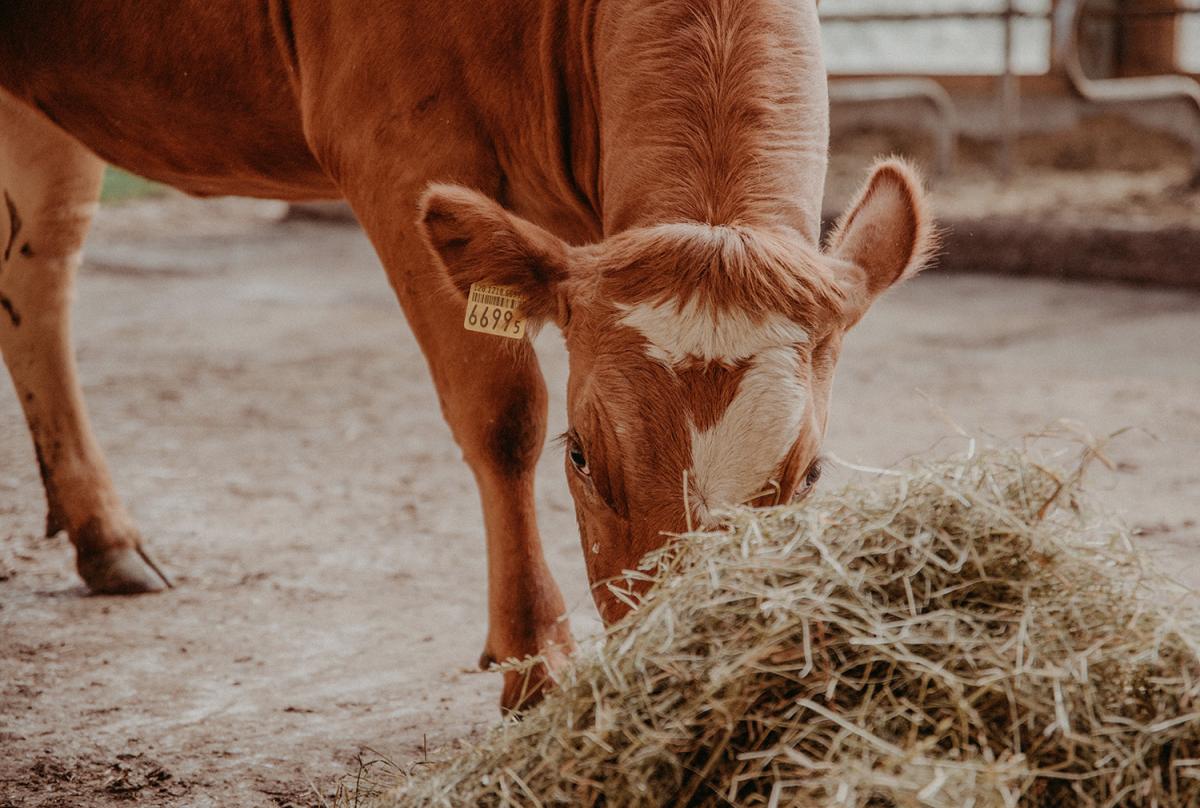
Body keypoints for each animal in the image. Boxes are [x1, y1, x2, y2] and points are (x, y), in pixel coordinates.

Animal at [0, 0, 936, 710]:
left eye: (810, 475)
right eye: (581, 457)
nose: (671, 678)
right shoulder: (388, 144)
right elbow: (502, 412)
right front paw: (534, 661)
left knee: (38, 276)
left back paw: (104, 536)